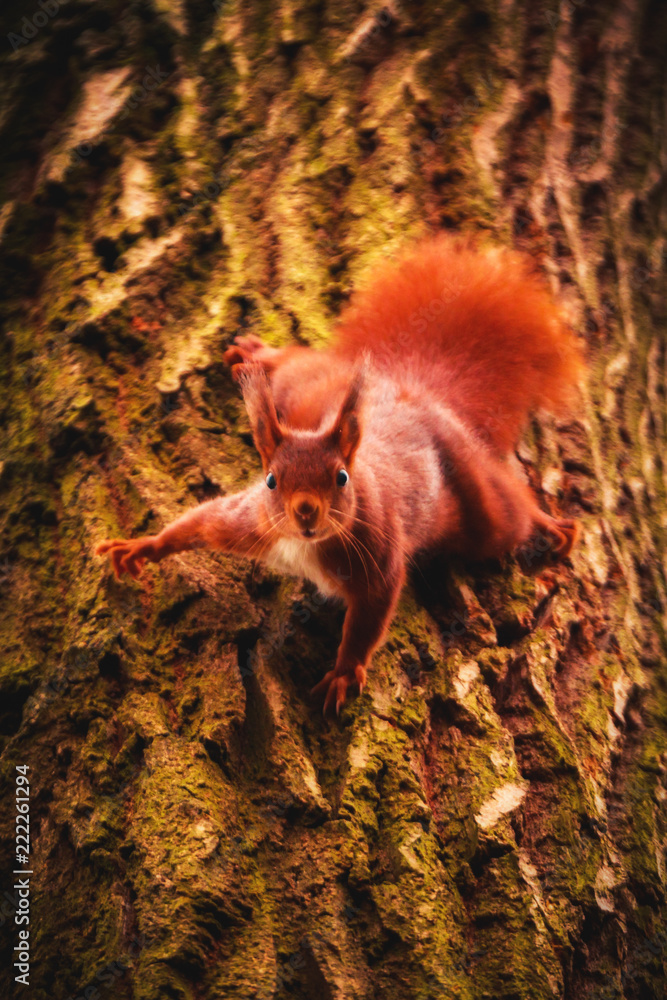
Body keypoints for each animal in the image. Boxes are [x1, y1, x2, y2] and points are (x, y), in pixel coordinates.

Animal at [96, 238, 580, 716]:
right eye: (271, 480)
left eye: (342, 478)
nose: (306, 511)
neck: (305, 546)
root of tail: (411, 392)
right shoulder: (250, 522)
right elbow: (198, 522)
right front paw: (142, 547)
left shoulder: (377, 553)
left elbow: (369, 618)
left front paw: (345, 673)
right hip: (311, 386)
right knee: (296, 362)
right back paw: (258, 354)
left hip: (480, 502)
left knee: (512, 510)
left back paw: (549, 525)